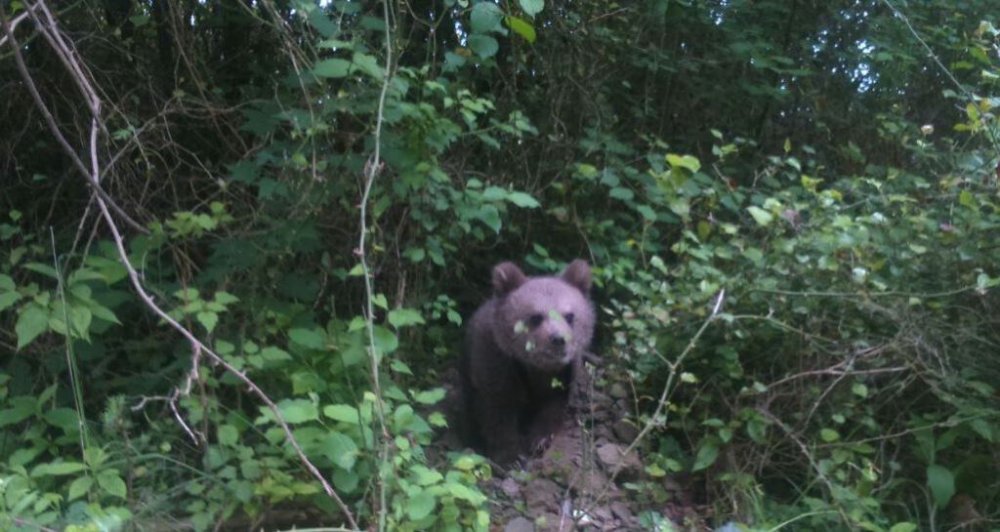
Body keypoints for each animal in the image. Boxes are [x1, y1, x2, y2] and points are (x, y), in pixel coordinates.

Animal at [460, 260, 592, 464]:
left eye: (569, 316)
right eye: (536, 317)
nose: (558, 339)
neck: (535, 367)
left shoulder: (563, 373)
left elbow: (553, 406)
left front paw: (540, 440)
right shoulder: (495, 363)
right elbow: (497, 412)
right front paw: (509, 455)